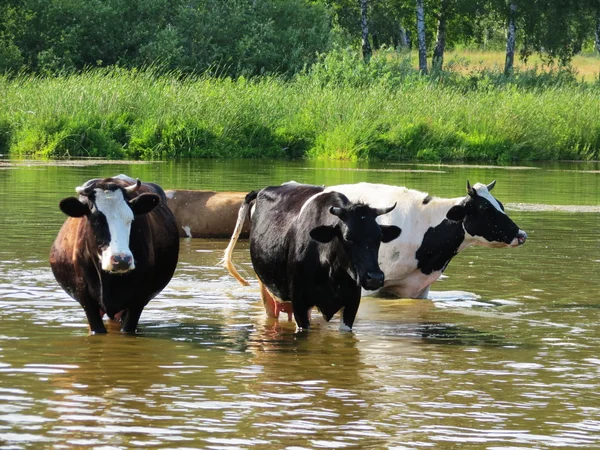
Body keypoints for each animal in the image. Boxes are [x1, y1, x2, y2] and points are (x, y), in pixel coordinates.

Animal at [223, 183, 400, 330]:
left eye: (379, 237)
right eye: (348, 237)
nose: (375, 277)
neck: (332, 273)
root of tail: (263, 189)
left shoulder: (351, 303)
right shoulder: (299, 301)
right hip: (265, 286)